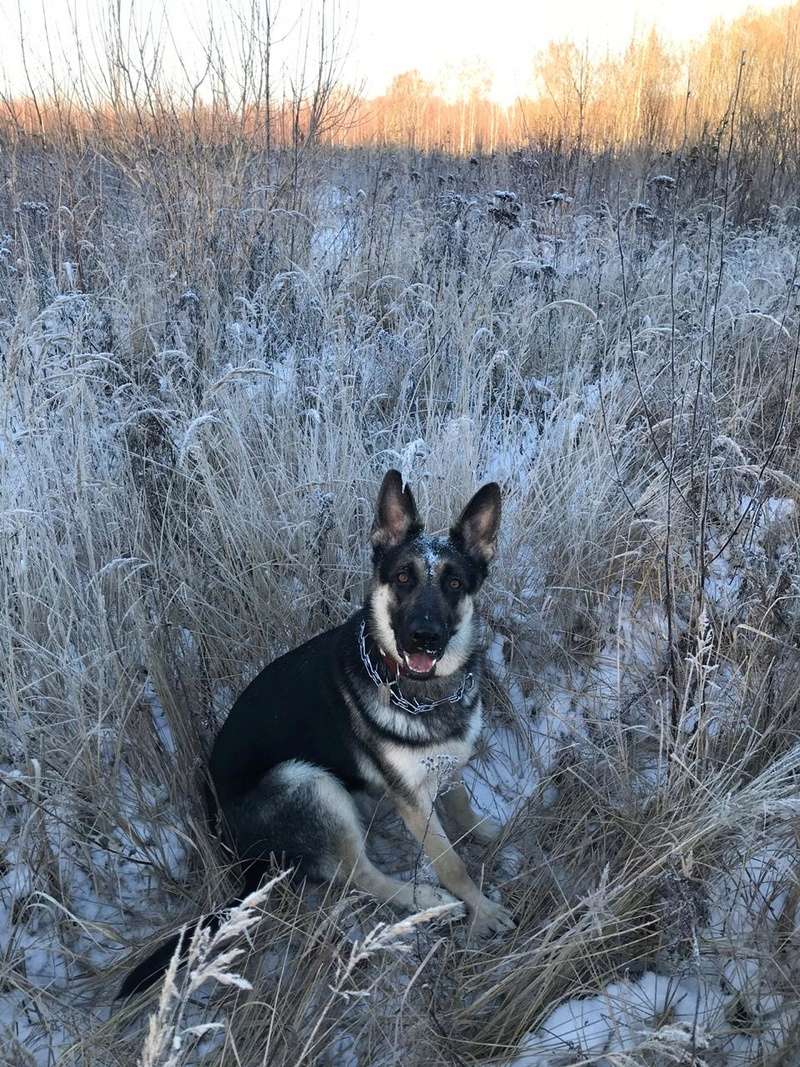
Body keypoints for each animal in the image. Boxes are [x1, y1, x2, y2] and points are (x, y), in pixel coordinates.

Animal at [118, 471, 514, 994]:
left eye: (453, 583)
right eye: (403, 578)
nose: (424, 637)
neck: (421, 690)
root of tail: (239, 860)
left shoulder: (443, 766)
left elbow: (461, 801)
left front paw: (483, 830)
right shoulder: (412, 799)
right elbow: (451, 863)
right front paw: (481, 910)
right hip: (304, 780)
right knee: (358, 875)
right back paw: (424, 901)